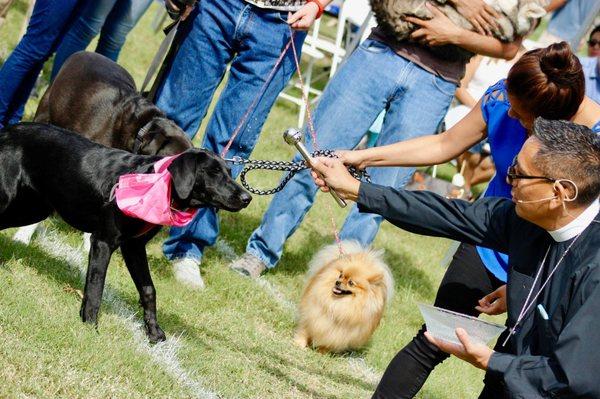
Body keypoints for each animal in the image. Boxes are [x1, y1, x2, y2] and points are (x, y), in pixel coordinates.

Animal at [0, 123, 251, 342]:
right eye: (213, 172)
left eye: (229, 172)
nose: (247, 198)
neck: (156, 183)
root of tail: (9, 130)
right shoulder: (103, 241)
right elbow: (96, 287)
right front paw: (90, 326)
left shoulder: (134, 247)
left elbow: (149, 290)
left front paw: (153, 332)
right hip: (11, 198)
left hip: (31, 209)